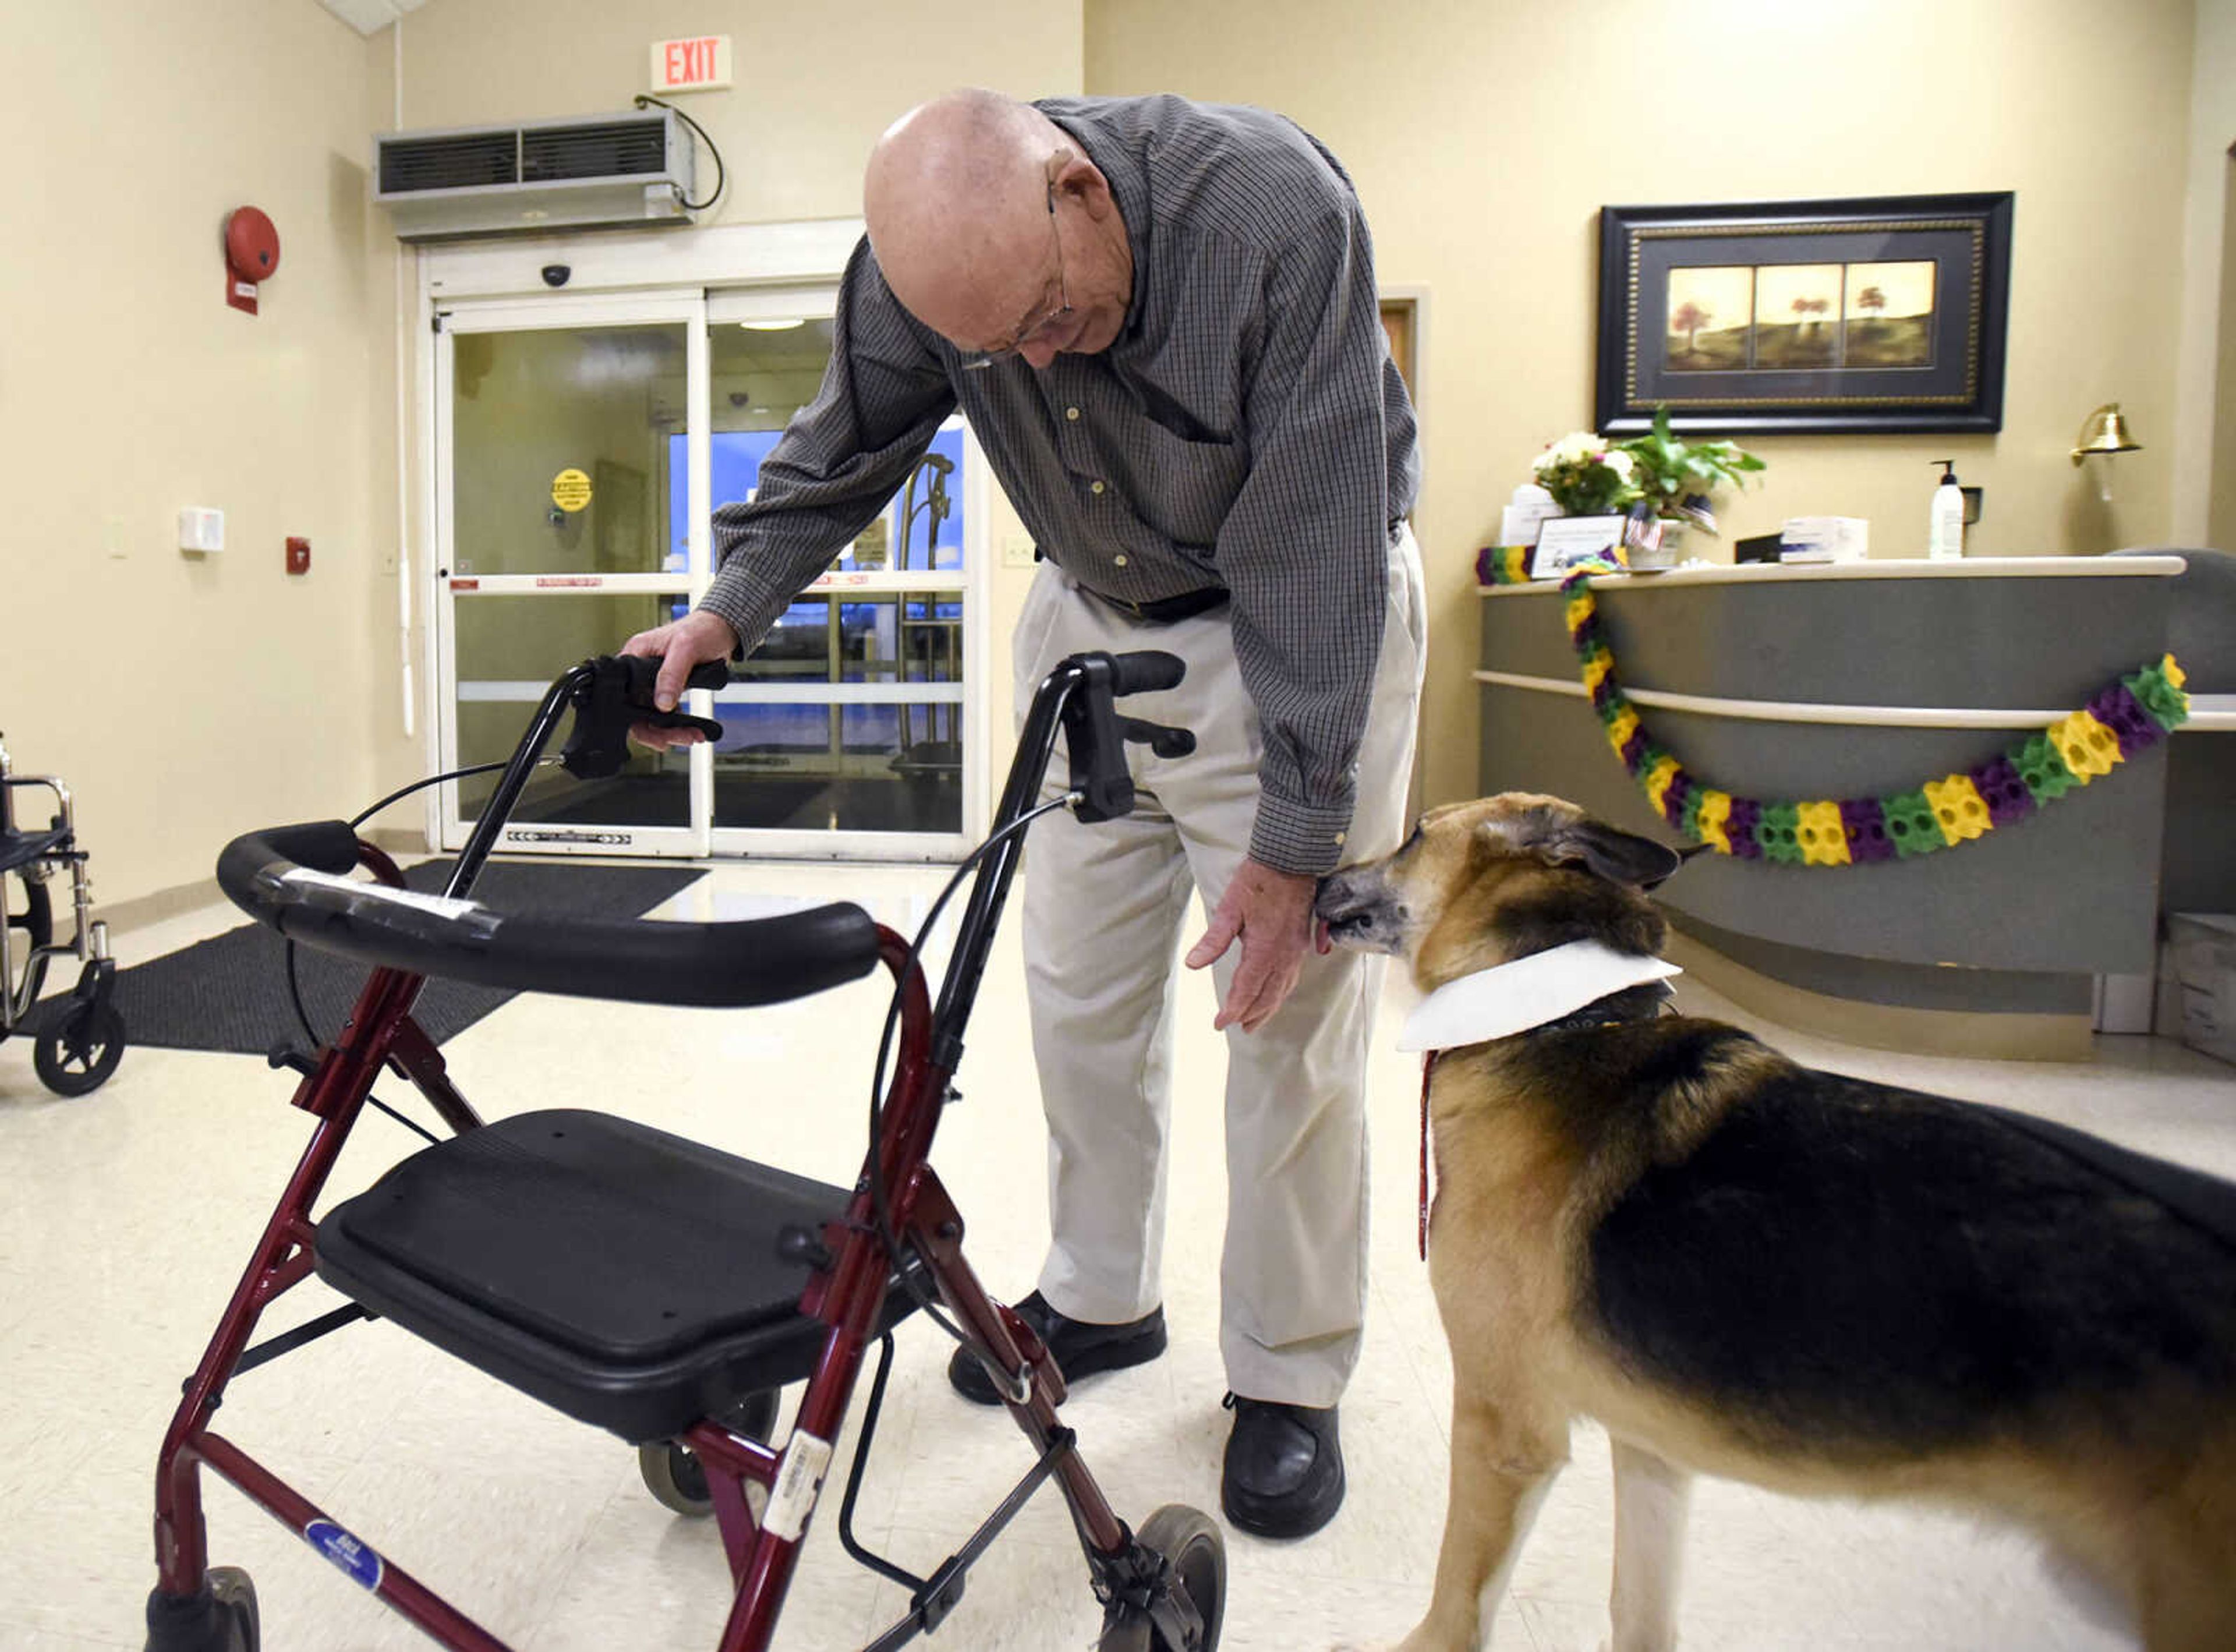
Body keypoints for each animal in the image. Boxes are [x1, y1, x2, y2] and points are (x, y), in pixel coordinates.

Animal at [1314, 795, 2236, 1645]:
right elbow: (1640, 1612)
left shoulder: (1504, 1429)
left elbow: (1455, 1608)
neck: (1560, 1022)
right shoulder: (1651, 1450)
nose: (1320, 876)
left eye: (1415, 833)